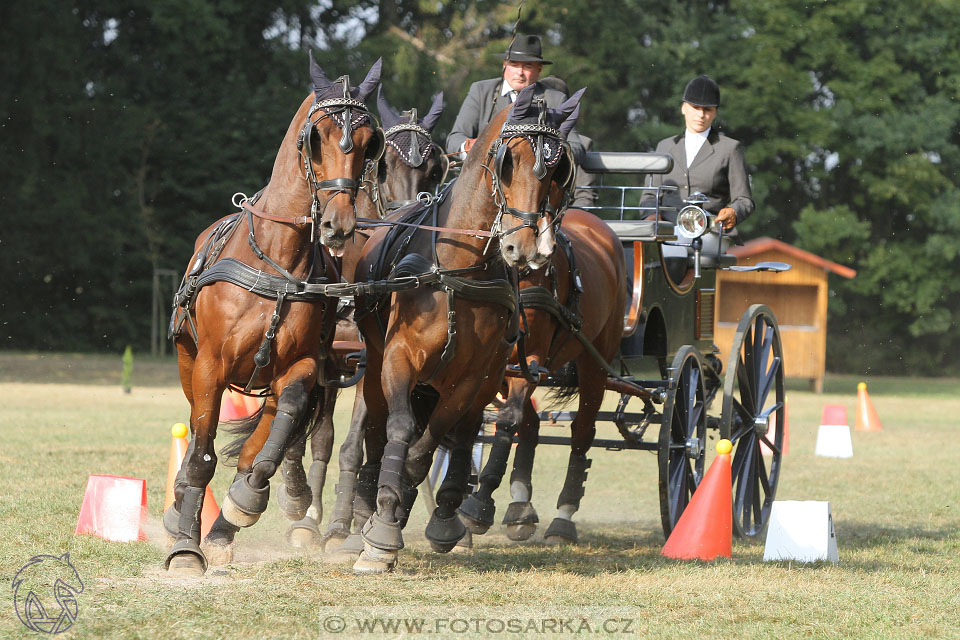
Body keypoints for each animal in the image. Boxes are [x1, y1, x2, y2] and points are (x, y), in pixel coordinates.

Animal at [161, 53, 382, 576]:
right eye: (317, 137)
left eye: (370, 144)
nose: (338, 225)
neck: (277, 260)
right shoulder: (210, 367)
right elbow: (201, 456)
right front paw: (186, 548)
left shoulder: (301, 367)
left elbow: (270, 444)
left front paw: (242, 507)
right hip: (188, 361)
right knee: (197, 440)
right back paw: (181, 510)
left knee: (265, 438)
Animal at [346, 82, 584, 572]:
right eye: (507, 160)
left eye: (557, 171)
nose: (524, 246)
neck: (458, 267)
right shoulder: (398, 359)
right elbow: (401, 429)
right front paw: (378, 526)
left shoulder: (474, 376)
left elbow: (430, 444)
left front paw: (397, 514)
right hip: (377, 366)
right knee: (375, 427)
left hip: (491, 376)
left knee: (466, 432)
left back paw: (444, 511)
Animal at [458, 209, 632, 544]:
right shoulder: (495, 366)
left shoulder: (530, 359)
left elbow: (507, 420)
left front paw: (478, 504)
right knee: (532, 424)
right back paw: (520, 505)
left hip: (595, 361)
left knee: (582, 430)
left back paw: (564, 517)